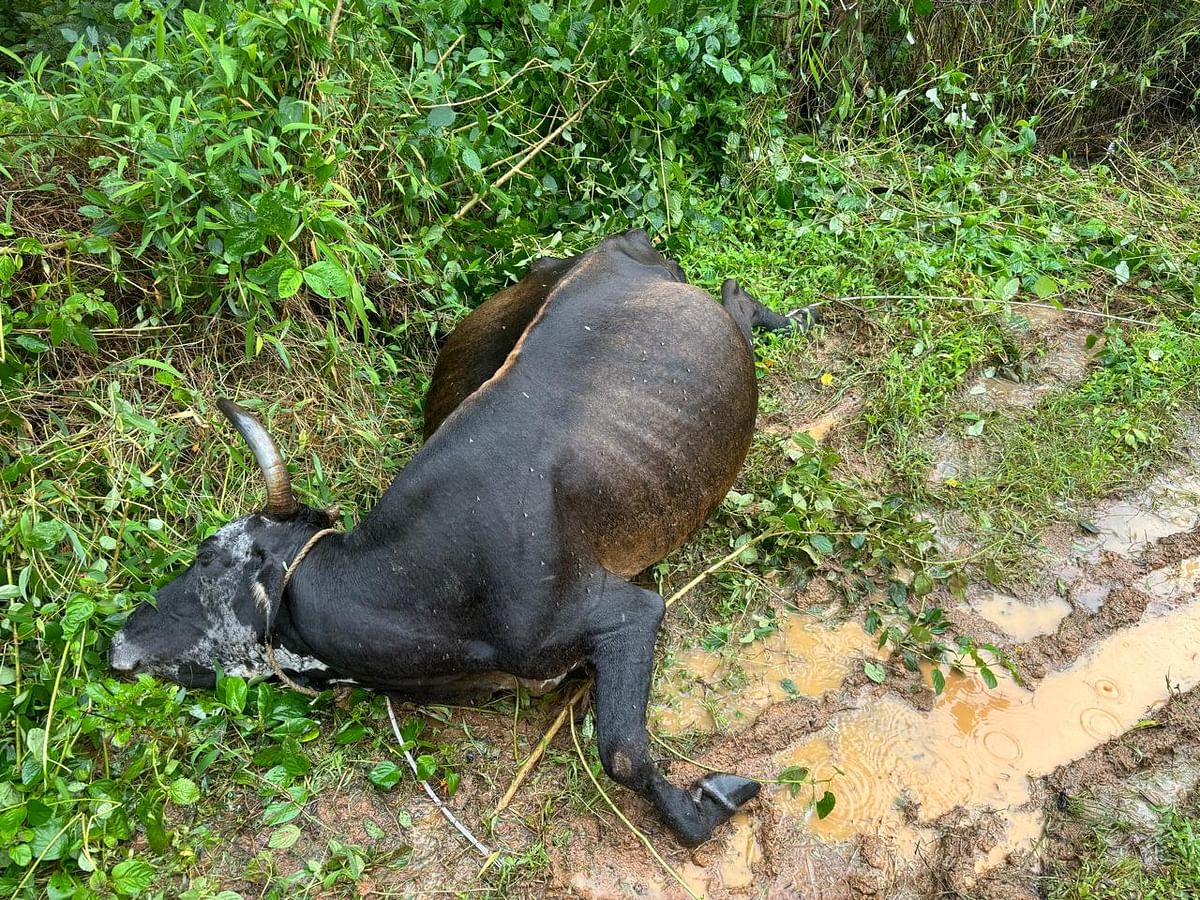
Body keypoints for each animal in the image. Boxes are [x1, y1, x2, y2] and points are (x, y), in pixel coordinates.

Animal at [110, 229, 816, 849]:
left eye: (207, 555)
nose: (119, 645)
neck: (425, 588)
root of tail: (615, 245)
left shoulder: (628, 612)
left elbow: (620, 753)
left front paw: (715, 799)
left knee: (736, 297)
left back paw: (792, 316)